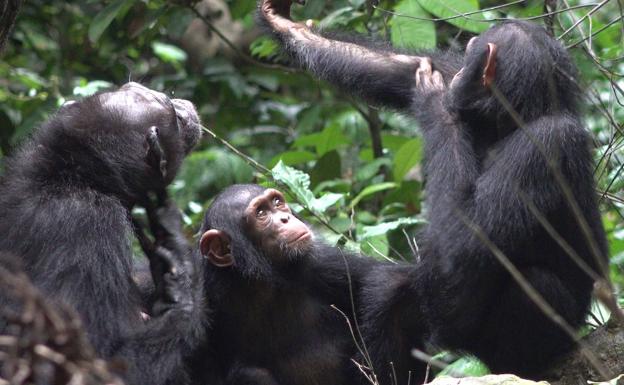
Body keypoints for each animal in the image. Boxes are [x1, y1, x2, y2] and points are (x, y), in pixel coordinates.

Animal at [190, 183, 414, 384]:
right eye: (261, 213)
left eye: (277, 202)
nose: (285, 218)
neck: (254, 281)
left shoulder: (319, 263)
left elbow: (388, 281)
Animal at [260, 0, 608, 378]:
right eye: (466, 56)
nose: (459, 76)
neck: (511, 121)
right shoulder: (454, 82)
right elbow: (398, 68)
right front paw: (284, 24)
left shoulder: (546, 144)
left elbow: (465, 242)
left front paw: (435, 102)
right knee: (395, 294)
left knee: (536, 284)